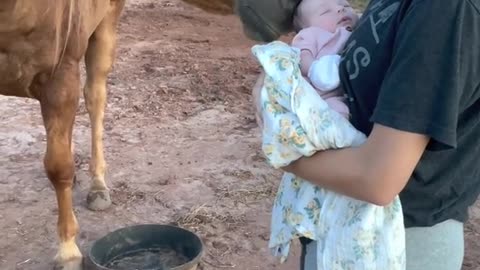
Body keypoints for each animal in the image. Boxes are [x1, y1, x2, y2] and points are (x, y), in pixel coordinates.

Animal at [0, 1, 125, 268]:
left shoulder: (60, 78)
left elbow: (59, 168)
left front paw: (68, 251)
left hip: (105, 27)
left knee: (95, 99)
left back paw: (98, 186)